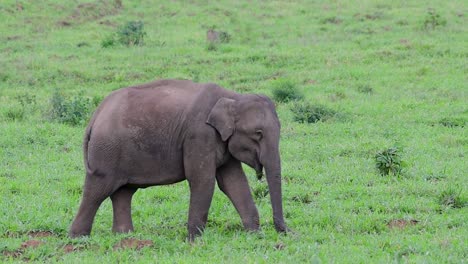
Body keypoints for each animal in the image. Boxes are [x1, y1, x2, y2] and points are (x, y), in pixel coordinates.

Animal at [69, 79, 288, 241]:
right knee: (98, 189)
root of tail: (95, 115)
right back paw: (78, 239)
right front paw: (194, 241)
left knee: (123, 191)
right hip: (106, 150)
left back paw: (124, 236)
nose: (286, 233)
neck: (233, 97)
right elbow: (203, 180)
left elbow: (233, 182)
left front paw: (255, 236)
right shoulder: (199, 136)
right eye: (258, 134)